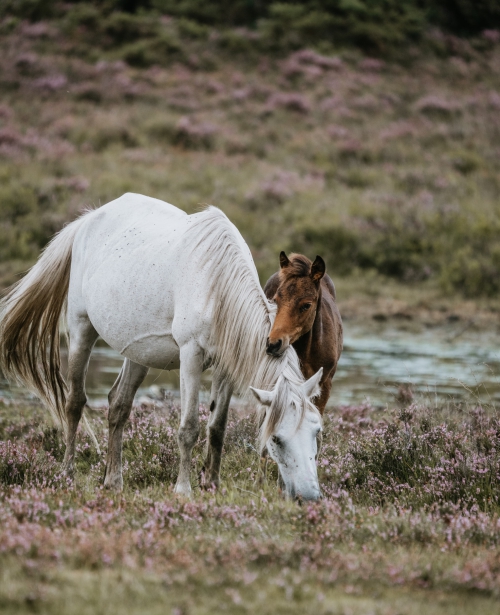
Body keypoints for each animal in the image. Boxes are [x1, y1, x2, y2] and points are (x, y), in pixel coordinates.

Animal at [0, 195, 324, 502]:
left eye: (316, 431)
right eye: (277, 439)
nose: (308, 496)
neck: (216, 286)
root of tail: (87, 220)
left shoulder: (226, 365)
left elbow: (217, 428)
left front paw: (213, 485)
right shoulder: (190, 355)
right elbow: (189, 427)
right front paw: (183, 489)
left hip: (138, 352)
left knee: (118, 405)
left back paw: (113, 480)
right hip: (81, 329)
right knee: (74, 403)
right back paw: (67, 474)